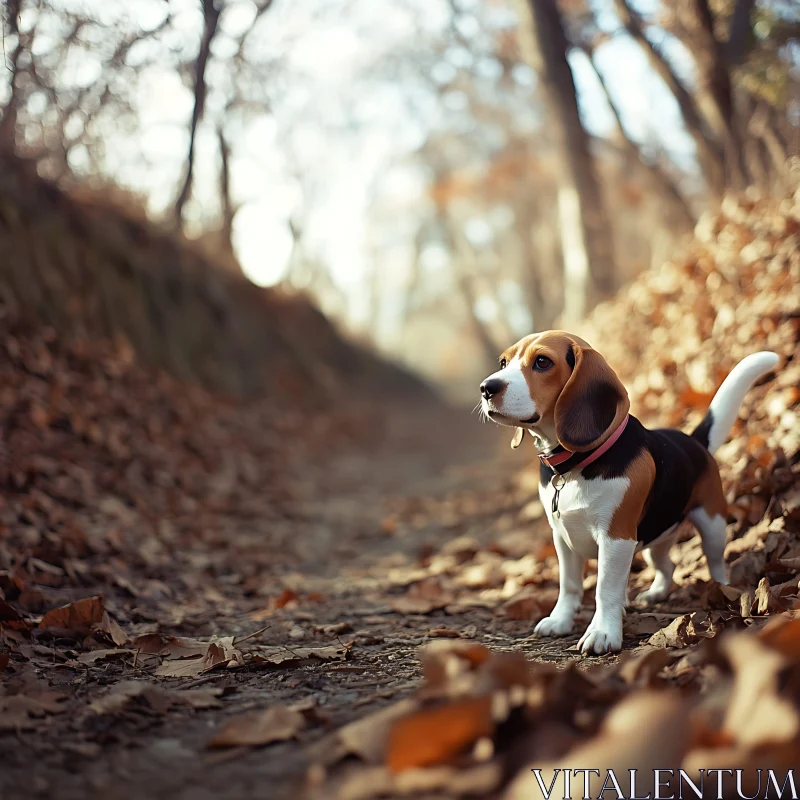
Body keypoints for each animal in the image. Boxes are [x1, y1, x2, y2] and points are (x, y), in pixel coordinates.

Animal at [478, 332, 780, 656]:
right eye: (503, 362)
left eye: (543, 362)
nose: (486, 388)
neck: (574, 465)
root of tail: (694, 440)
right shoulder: (563, 537)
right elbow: (569, 585)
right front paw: (560, 621)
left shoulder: (617, 537)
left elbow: (604, 589)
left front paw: (602, 632)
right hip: (652, 540)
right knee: (666, 565)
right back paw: (655, 593)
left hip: (711, 525)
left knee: (716, 561)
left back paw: (724, 589)